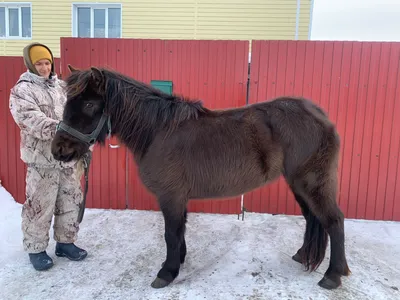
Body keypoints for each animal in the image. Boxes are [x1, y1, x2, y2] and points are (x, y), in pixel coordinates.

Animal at [50, 65, 350, 290]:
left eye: (90, 104)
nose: (59, 150)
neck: (158, 131)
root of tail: (320, 115)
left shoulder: (170, 197)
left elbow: (170, 233)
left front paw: (166, 272)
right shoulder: (178, 198)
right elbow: (180, 231)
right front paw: (179, 262)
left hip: (312, 183)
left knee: (334, 221)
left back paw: (333, 275)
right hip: (299, 185)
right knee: (313, 219)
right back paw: (304, 256)